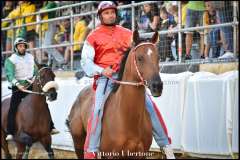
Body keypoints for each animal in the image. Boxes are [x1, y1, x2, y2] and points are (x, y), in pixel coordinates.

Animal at [66, 30, 162, 159]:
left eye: (158, 57)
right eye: (140, 58)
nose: (157, 86)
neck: (128, 119)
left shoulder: (141, 154)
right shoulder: (111, 155)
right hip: (78, 144)